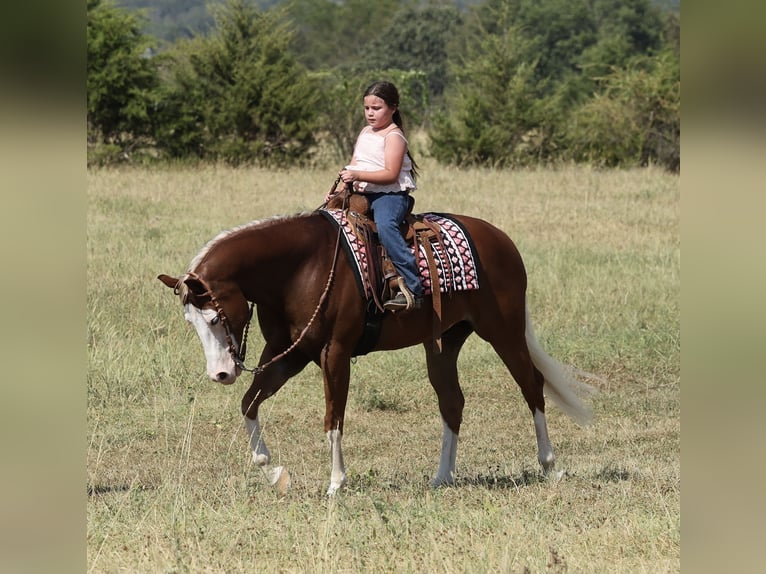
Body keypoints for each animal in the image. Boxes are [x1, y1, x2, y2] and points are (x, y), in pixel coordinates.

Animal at [158, 209, 596, 495]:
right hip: (444, 343)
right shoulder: (289, 353)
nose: (220, 374)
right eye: (191, 322)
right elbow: (250, 402)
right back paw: (442, 476)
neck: (298, 268)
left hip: (503, 331)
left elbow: (333, 418)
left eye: (215, 317)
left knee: (532, 387)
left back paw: (549, 466)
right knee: (452, 402)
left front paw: (336, 483)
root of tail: (502, 240)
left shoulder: (334, 353)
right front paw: (271, 468)